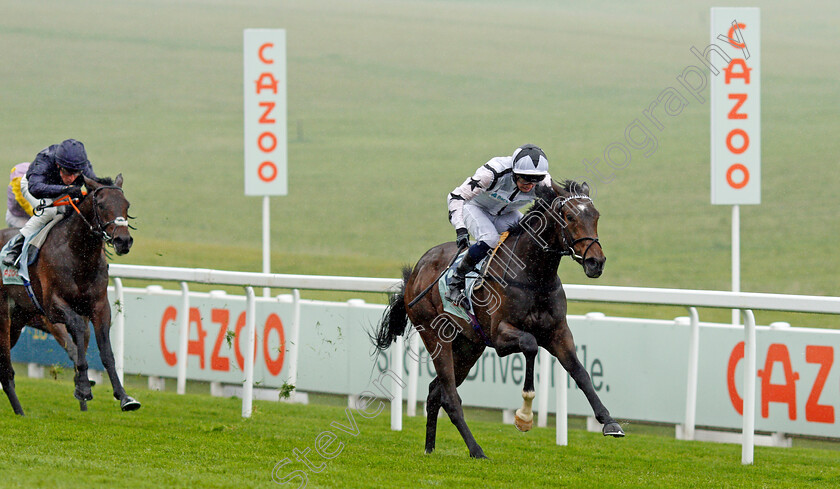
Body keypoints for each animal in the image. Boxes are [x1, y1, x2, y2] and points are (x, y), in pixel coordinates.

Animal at [0, 173, 138, 414]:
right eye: (101, 205)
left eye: (126, 204)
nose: (123, 240)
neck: (78, 255)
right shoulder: (53, 308)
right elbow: (77, 337)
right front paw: (83, 387)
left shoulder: (100, 306)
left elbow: (105, 351)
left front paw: (123, 397)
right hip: (3, 316)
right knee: (6, 371)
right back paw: (20, 412)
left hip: (17, 320)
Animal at [374, 179, 624, 458]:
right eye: (570, 216)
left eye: (596, 216)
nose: (596, 262)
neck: (533, 276)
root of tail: (417, 270)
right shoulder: (500, 336)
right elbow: (530, 345)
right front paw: (524, 417)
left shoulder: (558, 332)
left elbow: (580, 372)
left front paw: (609, 422)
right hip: (434, 335)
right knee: (450, 396)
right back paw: (476, 450)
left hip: (468, 346)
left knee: (435, 392)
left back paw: (430, 448)